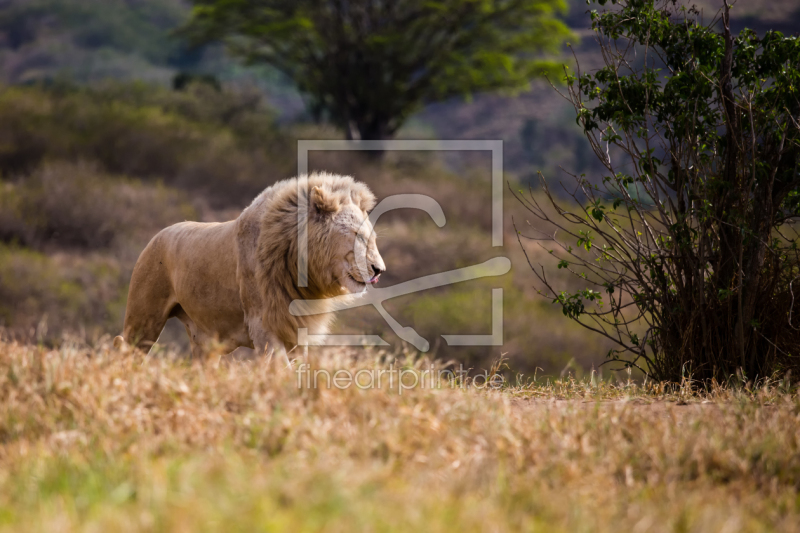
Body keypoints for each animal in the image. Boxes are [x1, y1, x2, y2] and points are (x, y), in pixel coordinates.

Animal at [114, 172, 386, 364]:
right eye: (357, 236)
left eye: (373, 238)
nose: (379, 270)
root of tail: (156, 236)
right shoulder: (263, 325)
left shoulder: (296, 329)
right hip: (144, 320)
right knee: (125, 349)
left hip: (205, 345)